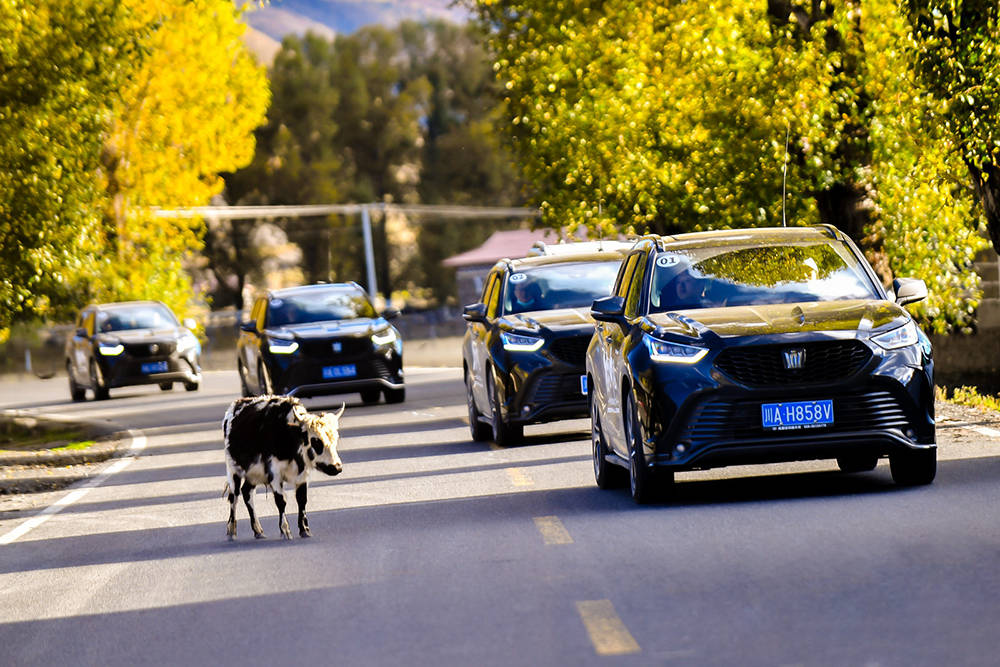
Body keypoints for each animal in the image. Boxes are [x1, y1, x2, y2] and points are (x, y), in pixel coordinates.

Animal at [223, 394, 344, 540]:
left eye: (335, 438)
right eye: (316, 440)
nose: (337, 467)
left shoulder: (302, 476)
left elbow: (301, 499)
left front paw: (304, 529)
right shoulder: (274, 474)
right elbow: (281, 500)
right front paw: (285, 530)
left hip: (252, 474)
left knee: (246, 492)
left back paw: (258, 530)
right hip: (233, 471)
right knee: (234, 497)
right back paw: (231, 531)